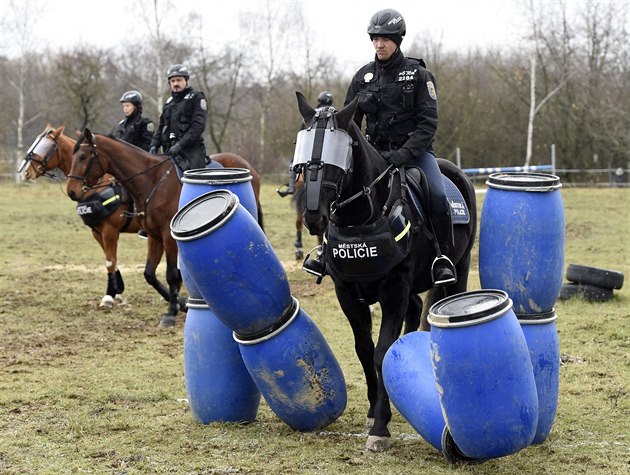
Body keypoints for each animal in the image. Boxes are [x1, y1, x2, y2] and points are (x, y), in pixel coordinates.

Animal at [20, 124, 144, 308]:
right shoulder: (97, 231)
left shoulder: (110, 230)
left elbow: (110, 261)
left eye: (47, 146)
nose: (25, 173)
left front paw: (109, 296)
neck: (98, 185)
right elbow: (112, 260)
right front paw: (117, 292)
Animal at [66, 130, 266, 330]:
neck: (152, 181)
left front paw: (171, 312)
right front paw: (180, 303)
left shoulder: (167, 237)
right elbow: (149, 274)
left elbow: (171, 274)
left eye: (83, 156)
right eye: (73, 156)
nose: (72, 191)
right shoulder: (153, 236)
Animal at [296, 91, 478, 452]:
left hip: (457, 272)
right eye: (304, 156)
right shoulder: (347, 293)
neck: (363, 218)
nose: (313, 216)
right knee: (415, 312)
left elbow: (383, 352)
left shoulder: (394, 291)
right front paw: (373, 412)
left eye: (340, 154)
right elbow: (365, 350)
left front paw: (380, 427)